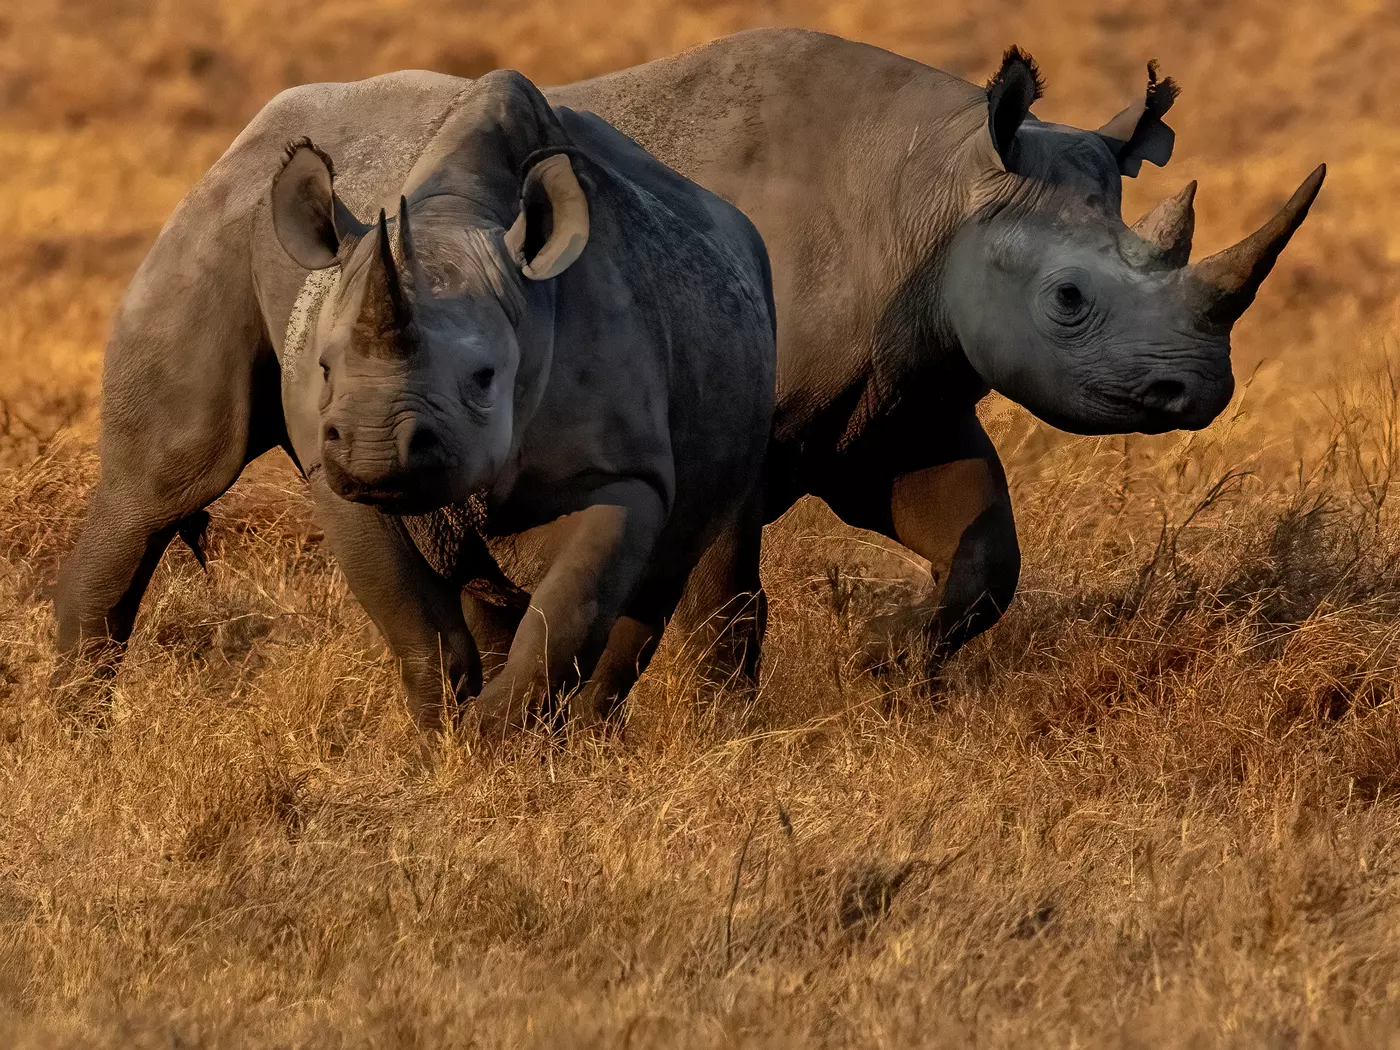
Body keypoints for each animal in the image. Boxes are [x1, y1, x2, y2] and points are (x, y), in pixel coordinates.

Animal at [53, 29, 1322, 720]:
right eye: (1066, 301)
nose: (1194, 392)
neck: (938, 188)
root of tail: (245, 133)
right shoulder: (749, 437)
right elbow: (727, 594)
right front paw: (724, 722)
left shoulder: (896, 404)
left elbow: (981, 556)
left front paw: (888, 674)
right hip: (228, 215)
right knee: (167, 481)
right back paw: (80, 719)